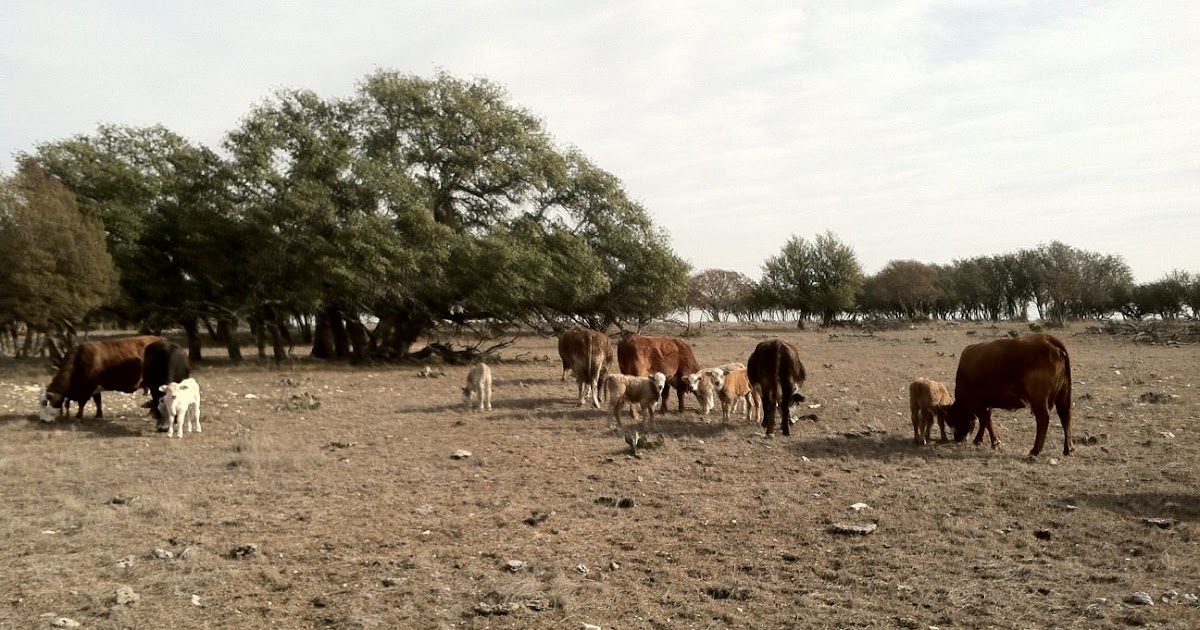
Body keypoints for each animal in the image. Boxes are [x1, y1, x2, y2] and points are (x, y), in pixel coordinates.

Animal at [944, 333, 1073, 458]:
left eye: (952, 420)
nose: (957, 439)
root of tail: (1048, 338)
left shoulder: (976, 403)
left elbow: (985, 420)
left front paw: (995, 442)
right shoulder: (986, 404)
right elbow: (984, 421)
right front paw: (979, 439)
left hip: (1038, 399)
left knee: (1043, 420)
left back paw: (1035, 451)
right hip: (1063, 395)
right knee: (1065, 417)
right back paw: (1068, 449)